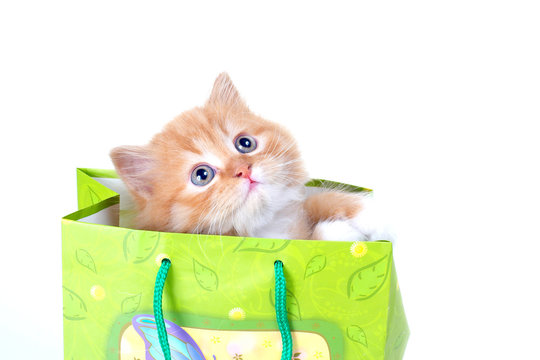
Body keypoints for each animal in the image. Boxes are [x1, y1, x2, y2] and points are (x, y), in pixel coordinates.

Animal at [110, 73, 392, 242]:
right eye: (201, 175)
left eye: (244, 144)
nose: (244, 170)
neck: (265, 230)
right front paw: (339, 232)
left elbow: (316, 199)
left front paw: (372, 213)